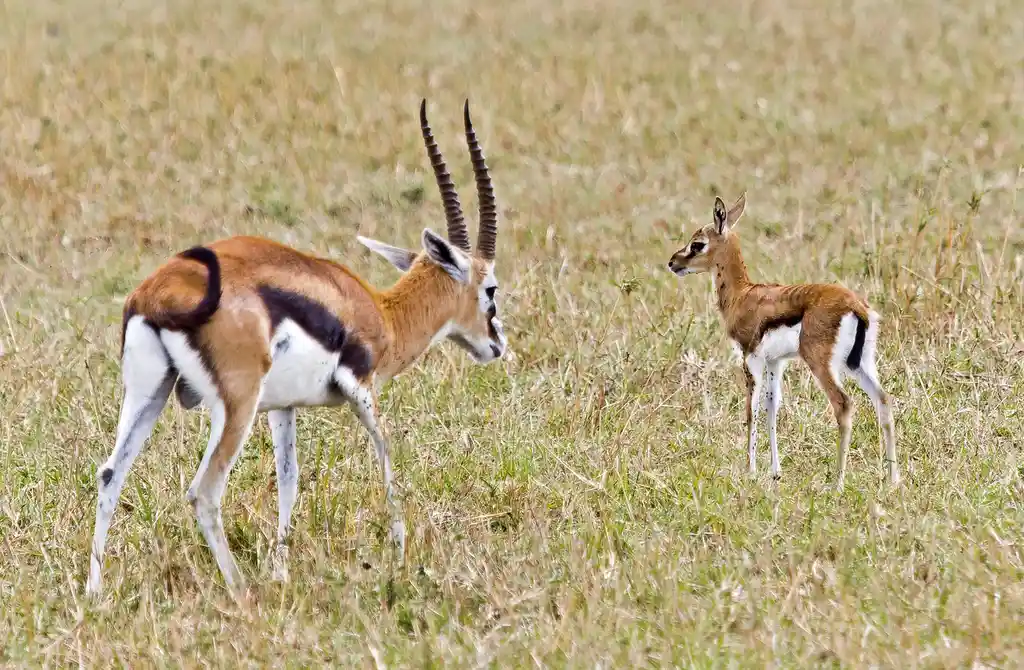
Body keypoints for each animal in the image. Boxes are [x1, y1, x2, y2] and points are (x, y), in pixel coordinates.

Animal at [85, 100, 508, 599]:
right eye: (490, 289)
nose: (496, 344)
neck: (382, 313)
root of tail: (157, 293)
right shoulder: (362, 389)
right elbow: (387, 461)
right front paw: (401, 557)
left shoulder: (282, 407)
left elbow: (288, 479)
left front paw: (281, 570)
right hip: (236, 406)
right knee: (204, 491)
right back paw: (241, 591)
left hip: (150, 393)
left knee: (110, 474)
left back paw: (93, 594)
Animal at [667, 193, 899, 489]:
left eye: (698, 244)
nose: (673, 262)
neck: (743, 296)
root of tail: (856, 306)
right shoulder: (775, 362)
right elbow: (772, 406)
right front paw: (775, 471)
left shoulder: (751, 358)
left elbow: (751, 409)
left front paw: (751, 470)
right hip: (859, 363)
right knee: (883, 400)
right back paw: (893, 479)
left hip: (822, 364)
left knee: (844, 405)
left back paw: (837, 484)